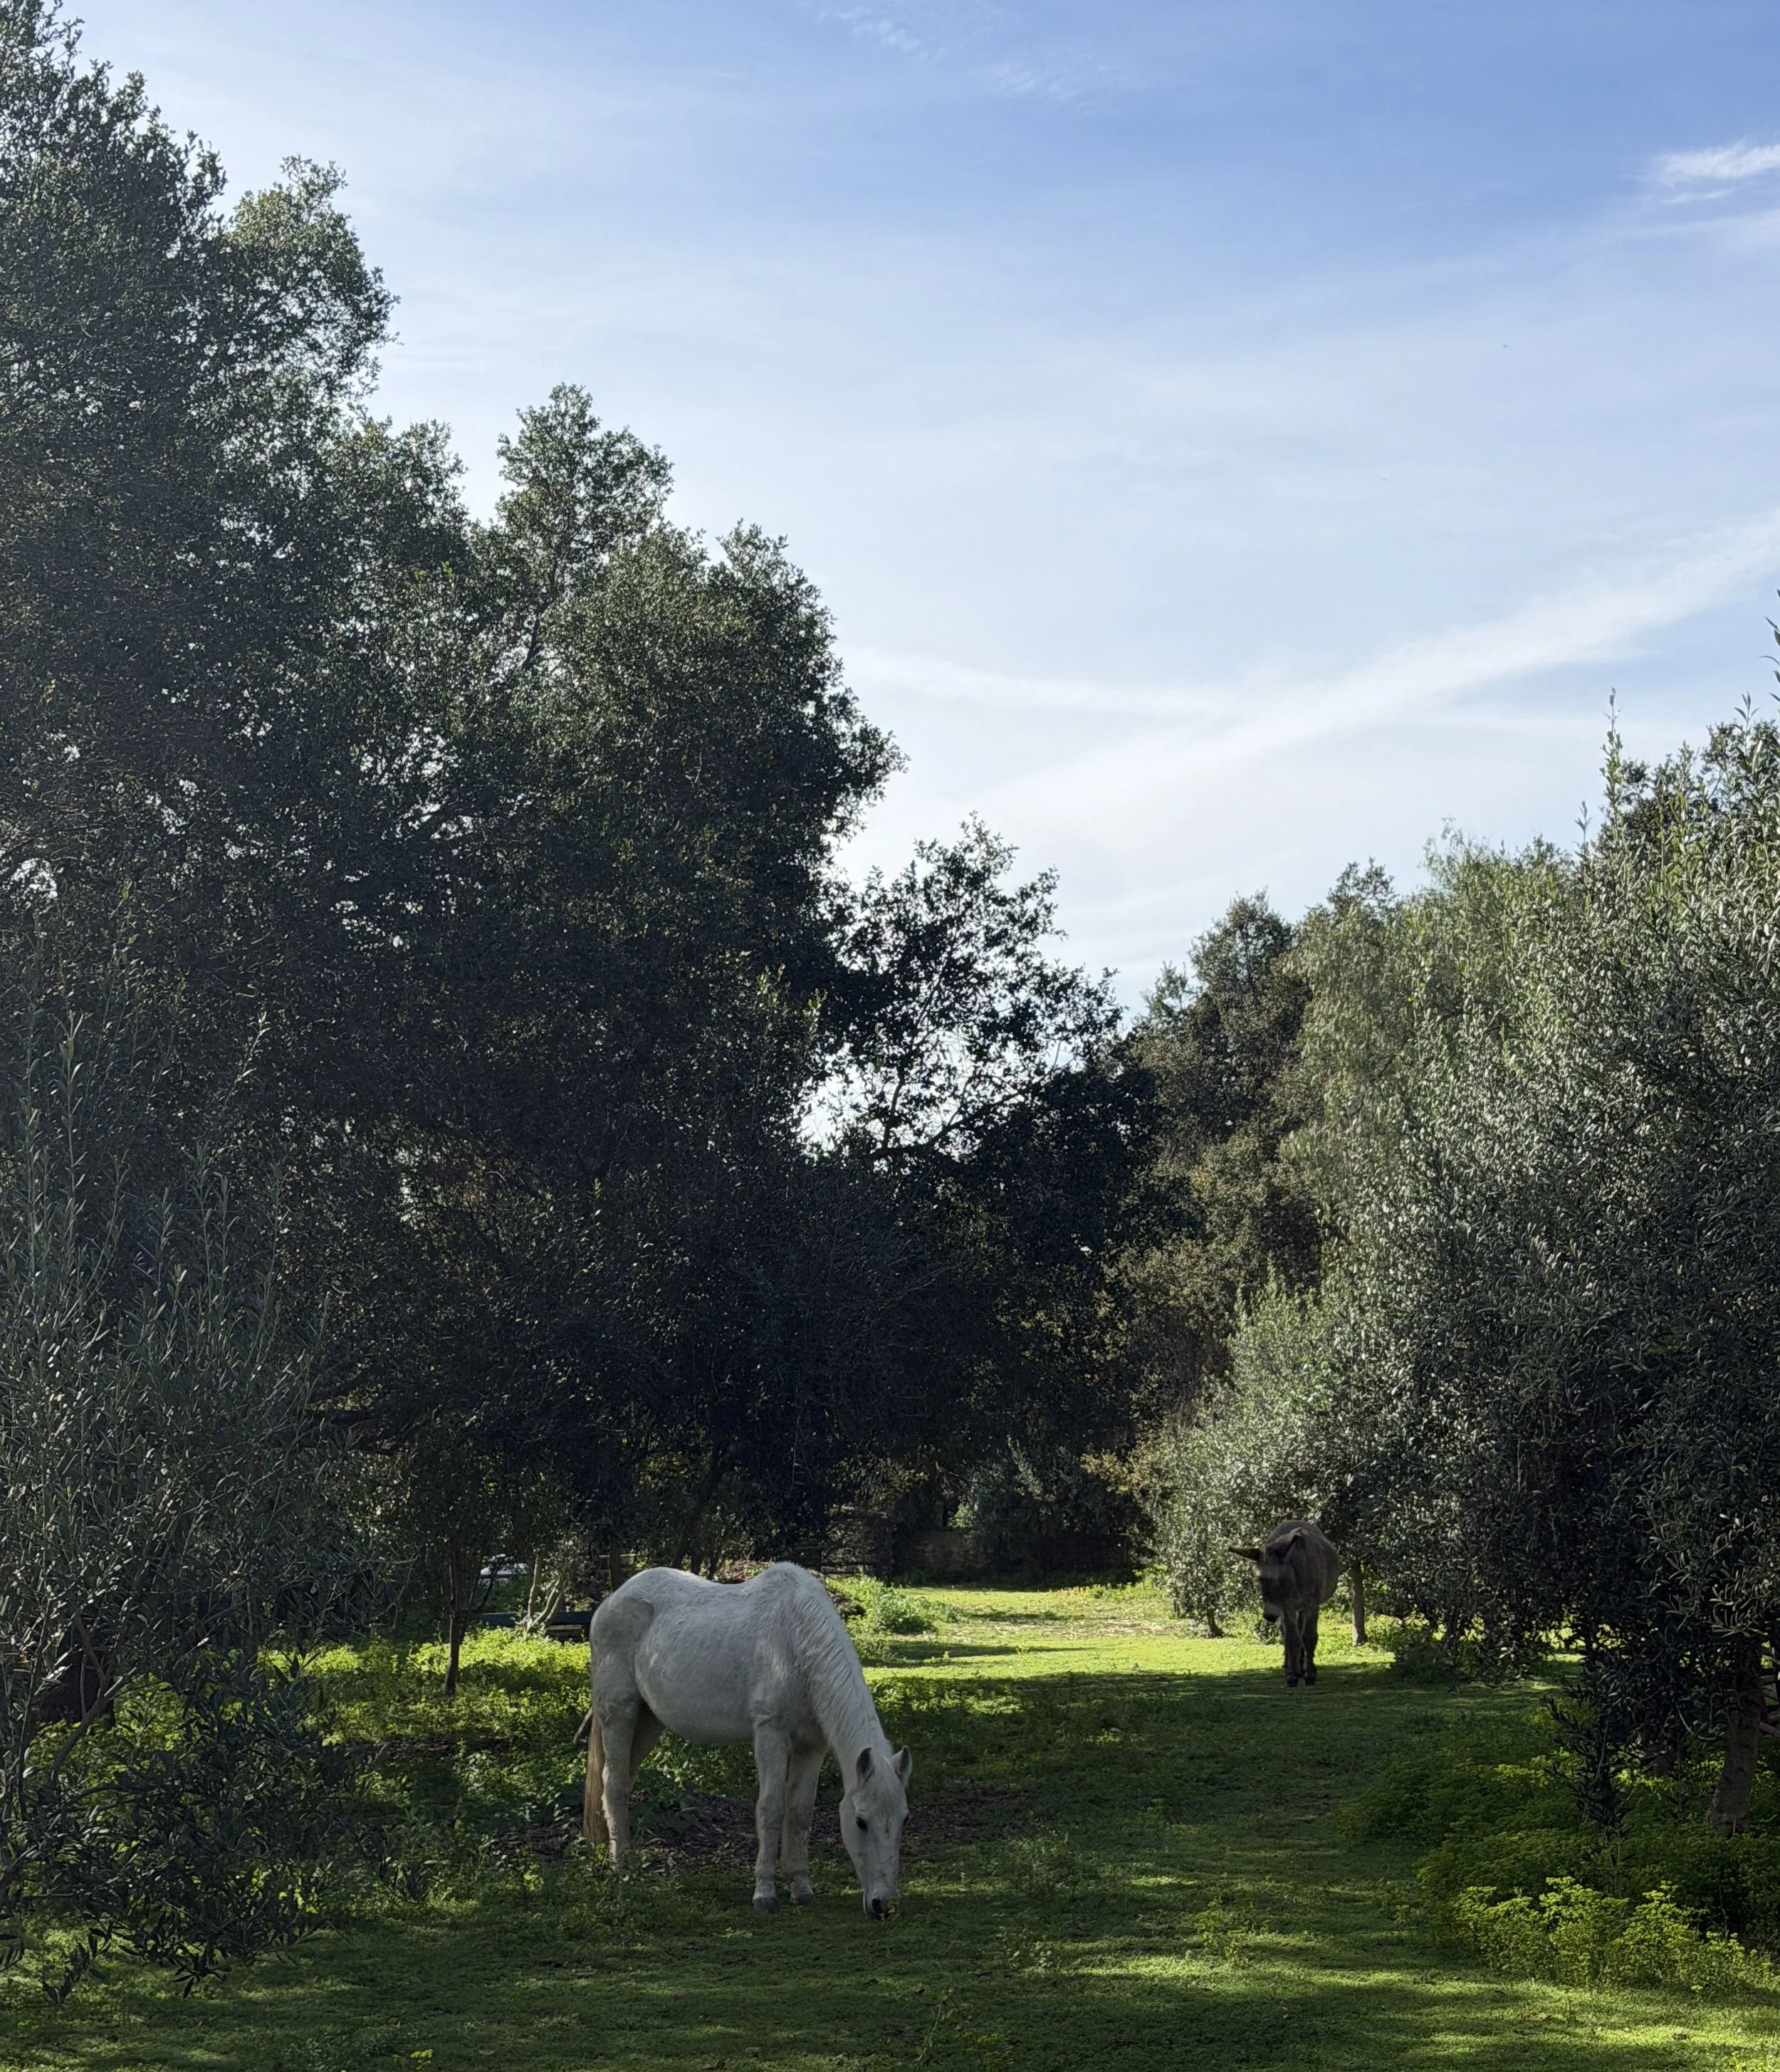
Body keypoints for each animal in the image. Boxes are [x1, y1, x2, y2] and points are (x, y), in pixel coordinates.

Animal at [580, 1561, 912, 1916]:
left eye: (904, 1819)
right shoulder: (770, 1735)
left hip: (648, 1722)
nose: (882, 1905)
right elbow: (770, 1810)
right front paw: (764, 1893)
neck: (795, 1642)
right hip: (620, 1714)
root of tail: (610, 1603)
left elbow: (799, 1812)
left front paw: (801, 1887)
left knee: (623, 1780)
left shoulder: (812, 1746)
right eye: (860, 1822)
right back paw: (621, 1864)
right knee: (614, 1783)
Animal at [1233, 1520, 1340, 1686]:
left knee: (1301, 1631)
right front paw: (1291, 1675)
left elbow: (1309, 1637)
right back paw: (1291, 1667)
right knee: (1288, 1634)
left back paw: (1302, 1667)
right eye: (1259, 1579)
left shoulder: (1312, 1603)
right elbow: (1291, 1638)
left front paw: (1310, 1674)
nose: (1269, 1616)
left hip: (1302, 1606)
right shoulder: (1287, 1606)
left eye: (1280, 1579)